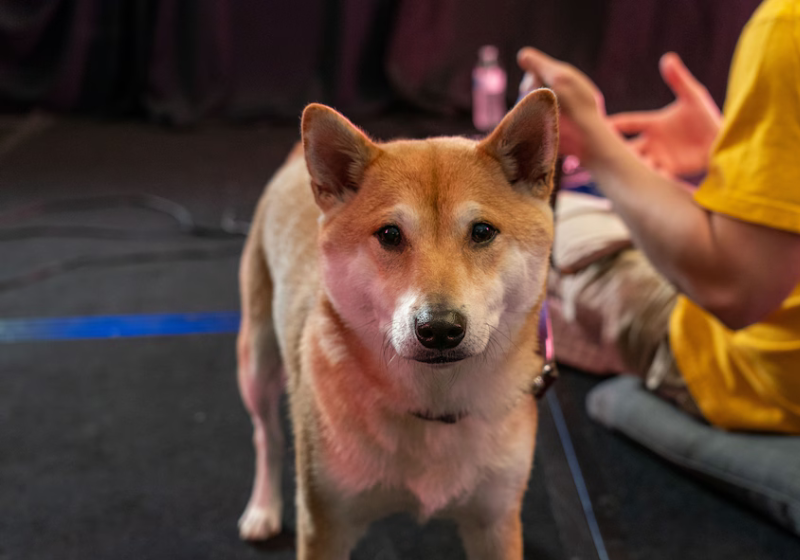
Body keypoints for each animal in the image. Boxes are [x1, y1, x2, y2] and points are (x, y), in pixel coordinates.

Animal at [236, 89, 556, 556]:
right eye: (390, 235)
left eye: (481, 231)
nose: (439, 328)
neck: (432, 406)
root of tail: (296, 160)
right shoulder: (324, 521)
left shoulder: (495, 523)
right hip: (257, 362)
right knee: (267, 437)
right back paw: (263, 508)